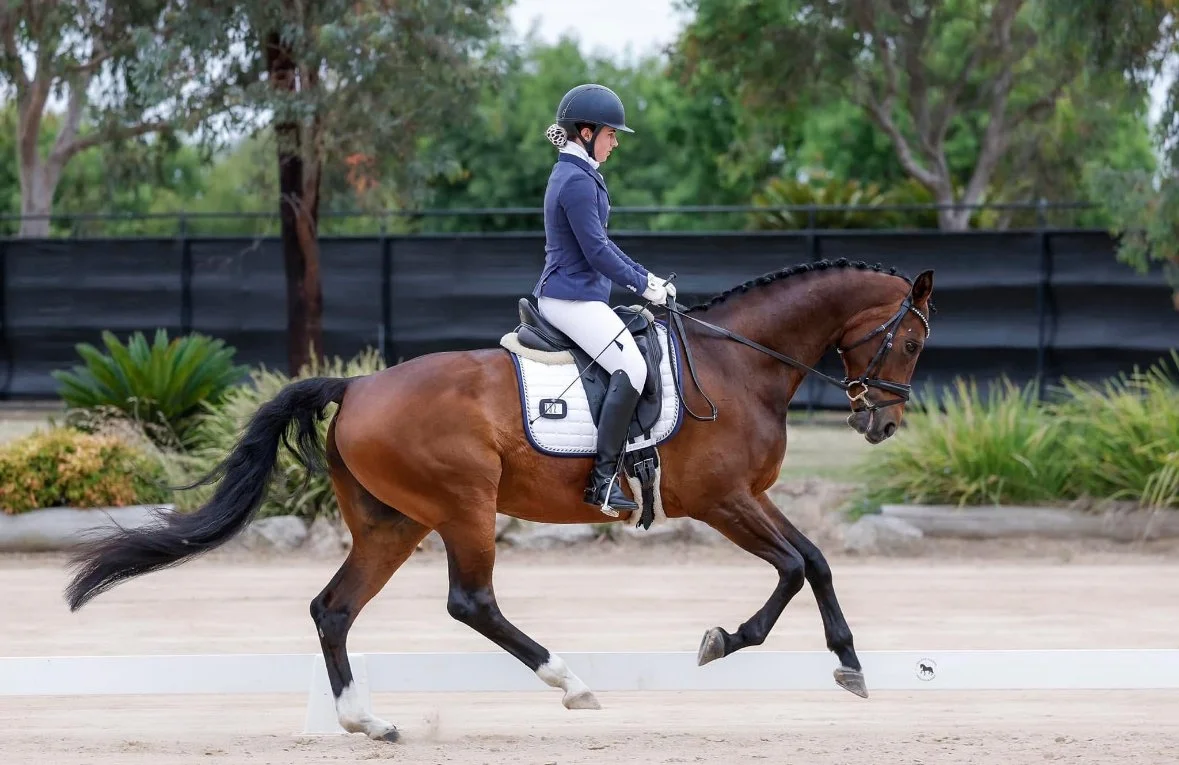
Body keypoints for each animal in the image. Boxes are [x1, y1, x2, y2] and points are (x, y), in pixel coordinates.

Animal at [63, 257, 935, 743]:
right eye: (911, 338)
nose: (883, 422)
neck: (737, 364)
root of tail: (356, 383)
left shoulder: (747, 496)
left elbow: (813, 560)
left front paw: (847, 663)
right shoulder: (722, 499)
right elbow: (792, 566)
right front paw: (729, 641)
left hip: (392, 522)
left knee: (333, 609)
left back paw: (366, 721)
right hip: (463, 507)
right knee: (470, 601)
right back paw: (570, 682)